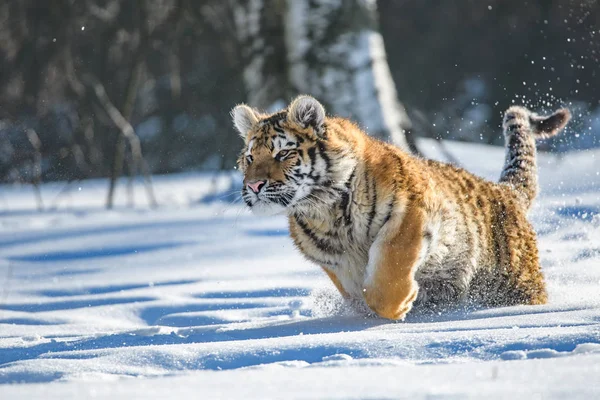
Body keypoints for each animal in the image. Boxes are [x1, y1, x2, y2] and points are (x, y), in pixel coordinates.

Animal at [231, 95, 572, 320]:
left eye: (282, 154)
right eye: (250, 157)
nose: (254, 186)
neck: (324, 210)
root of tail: (505, 191)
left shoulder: (409, 214)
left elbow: (387, 270)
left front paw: (399, 306)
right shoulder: (336, 262)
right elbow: (358, 289)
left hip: (516, 283)